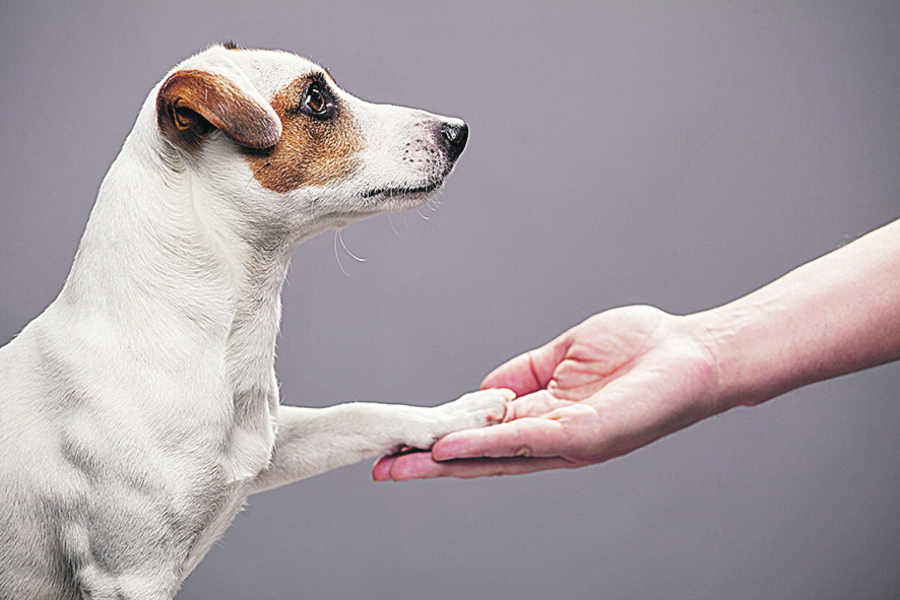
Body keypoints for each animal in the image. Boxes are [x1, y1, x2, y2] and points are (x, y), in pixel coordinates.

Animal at [0, 44, 512, 596]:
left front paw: (461, 413)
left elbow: (360, 415)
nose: (458, 132)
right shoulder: (130, 575)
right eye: (315, 100)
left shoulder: (270, 446)